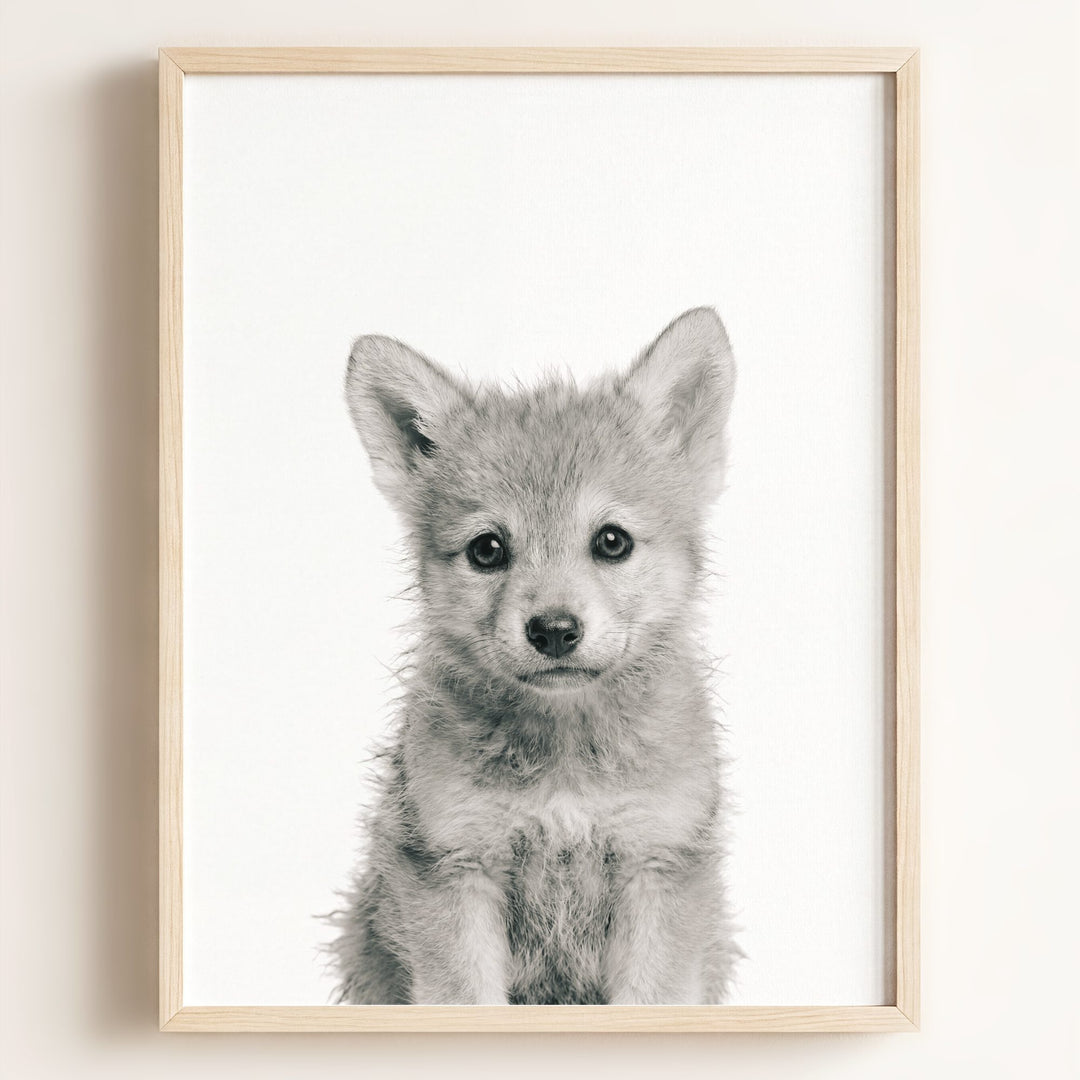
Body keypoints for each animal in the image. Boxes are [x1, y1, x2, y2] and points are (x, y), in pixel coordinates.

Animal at [330, 307, 739, 1005]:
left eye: (611, 541)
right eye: (487, 549)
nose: (553, 631)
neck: (565, 765)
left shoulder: (658, 863)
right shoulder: (455, 867)